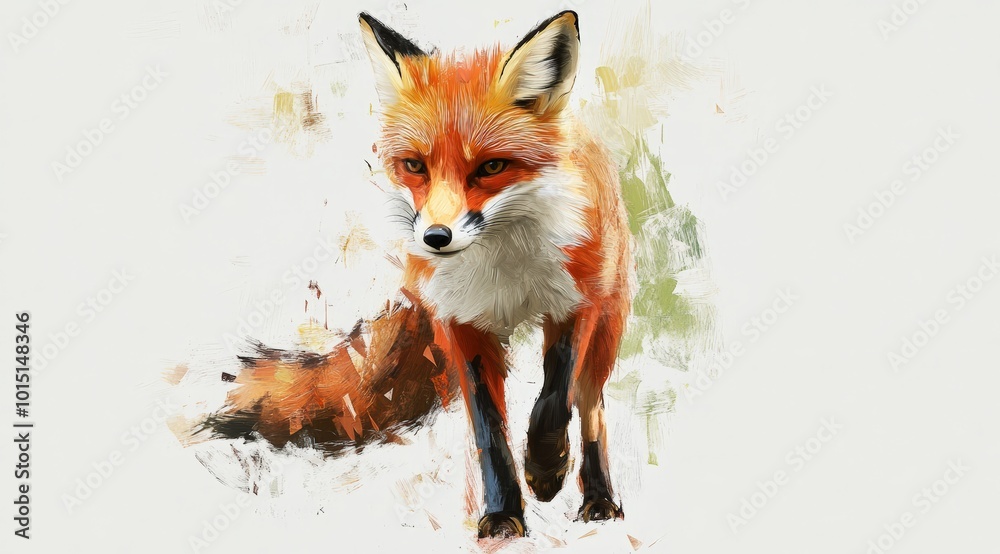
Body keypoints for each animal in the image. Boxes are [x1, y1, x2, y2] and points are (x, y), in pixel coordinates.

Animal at [202, 10, 635, 540]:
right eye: (414, 165)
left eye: (491, 166)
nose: (436, 237)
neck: (502, 271)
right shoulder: (461, 325)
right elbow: (489, 429)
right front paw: (502, 514)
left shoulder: (576, 304)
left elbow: (555, 399)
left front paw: (546, 468)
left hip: (609, 321)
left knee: (590, 407)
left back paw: (599, 498)